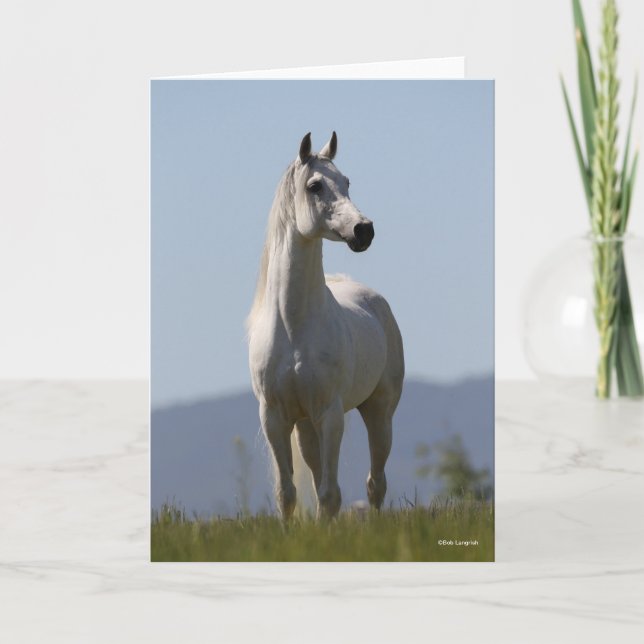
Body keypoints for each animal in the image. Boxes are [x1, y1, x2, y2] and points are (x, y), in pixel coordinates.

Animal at [247, 131, 404, 519]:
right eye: (314, 185)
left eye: (347, 181)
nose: (364, 230)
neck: (293, 326)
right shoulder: (274, 418)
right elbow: (287, 493)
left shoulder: (330, 414)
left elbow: (331, 494)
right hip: (305, 427)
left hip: (380, 413)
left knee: (375, 483)